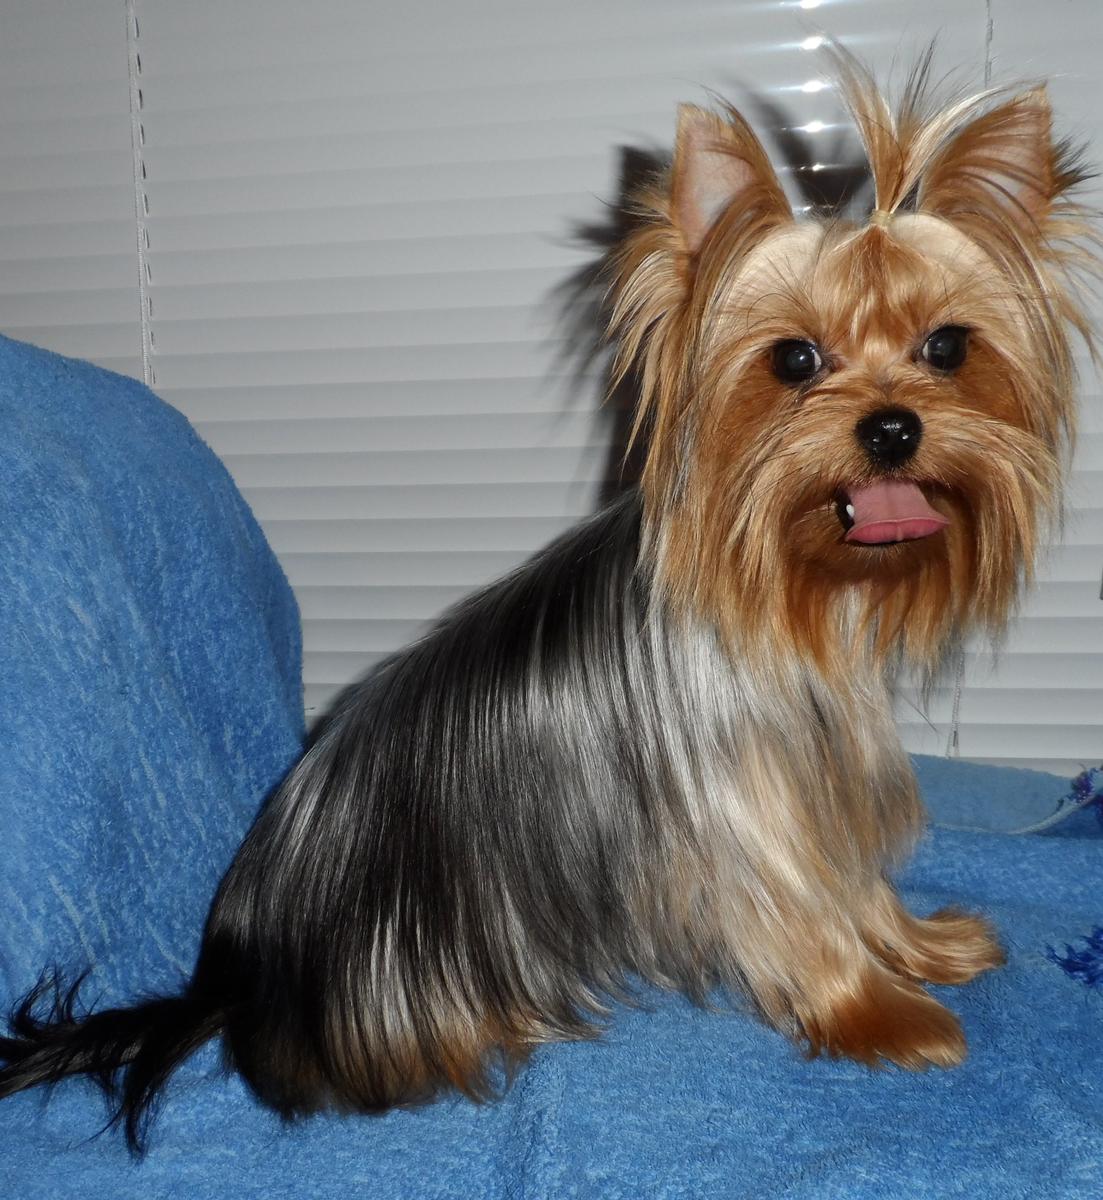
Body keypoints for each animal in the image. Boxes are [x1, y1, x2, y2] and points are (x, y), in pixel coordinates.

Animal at [1, 54, 1095, 1152]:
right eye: (792, 359)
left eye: (946, 348)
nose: (890, 429)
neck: (794, 595)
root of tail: (237, 969)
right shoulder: (743, 806)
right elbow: (800, 911)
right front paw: (879, 1014)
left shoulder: (819, 775)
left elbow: (854, 880)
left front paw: (919, 944)